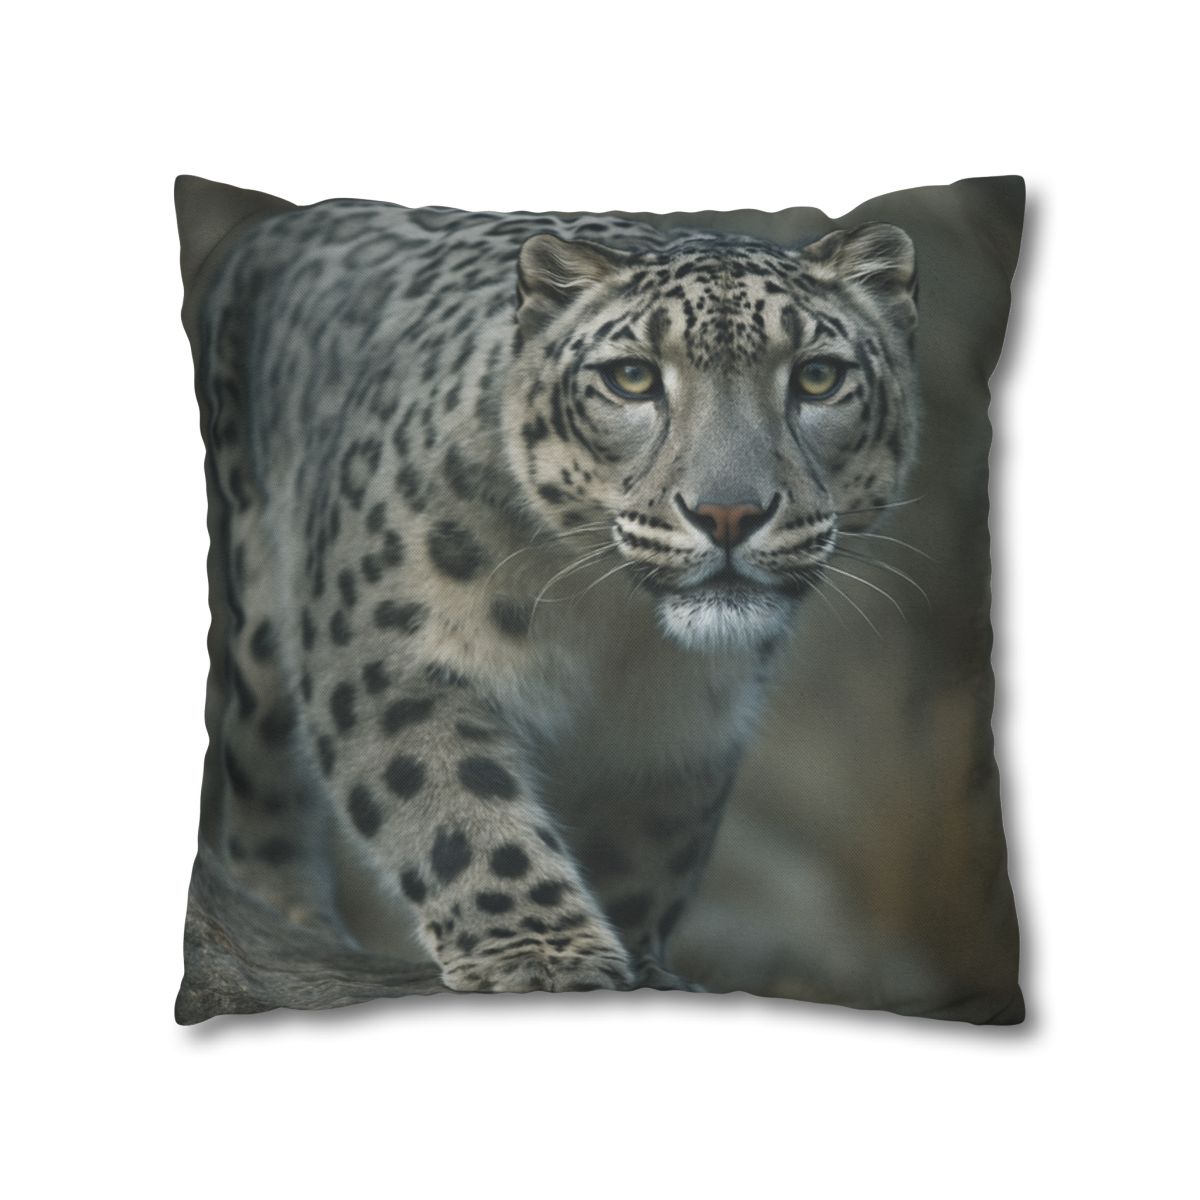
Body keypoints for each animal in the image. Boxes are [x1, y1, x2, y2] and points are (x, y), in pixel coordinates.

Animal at [198, 197, 918, 993]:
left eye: (818, 377)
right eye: (632, 377)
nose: (728, 513)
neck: (613, 632)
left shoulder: (684, 732)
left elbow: (647, 850)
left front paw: (642, 964)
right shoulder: (392, 652)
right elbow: (452, 800)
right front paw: (542, 953)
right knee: (261, 785)